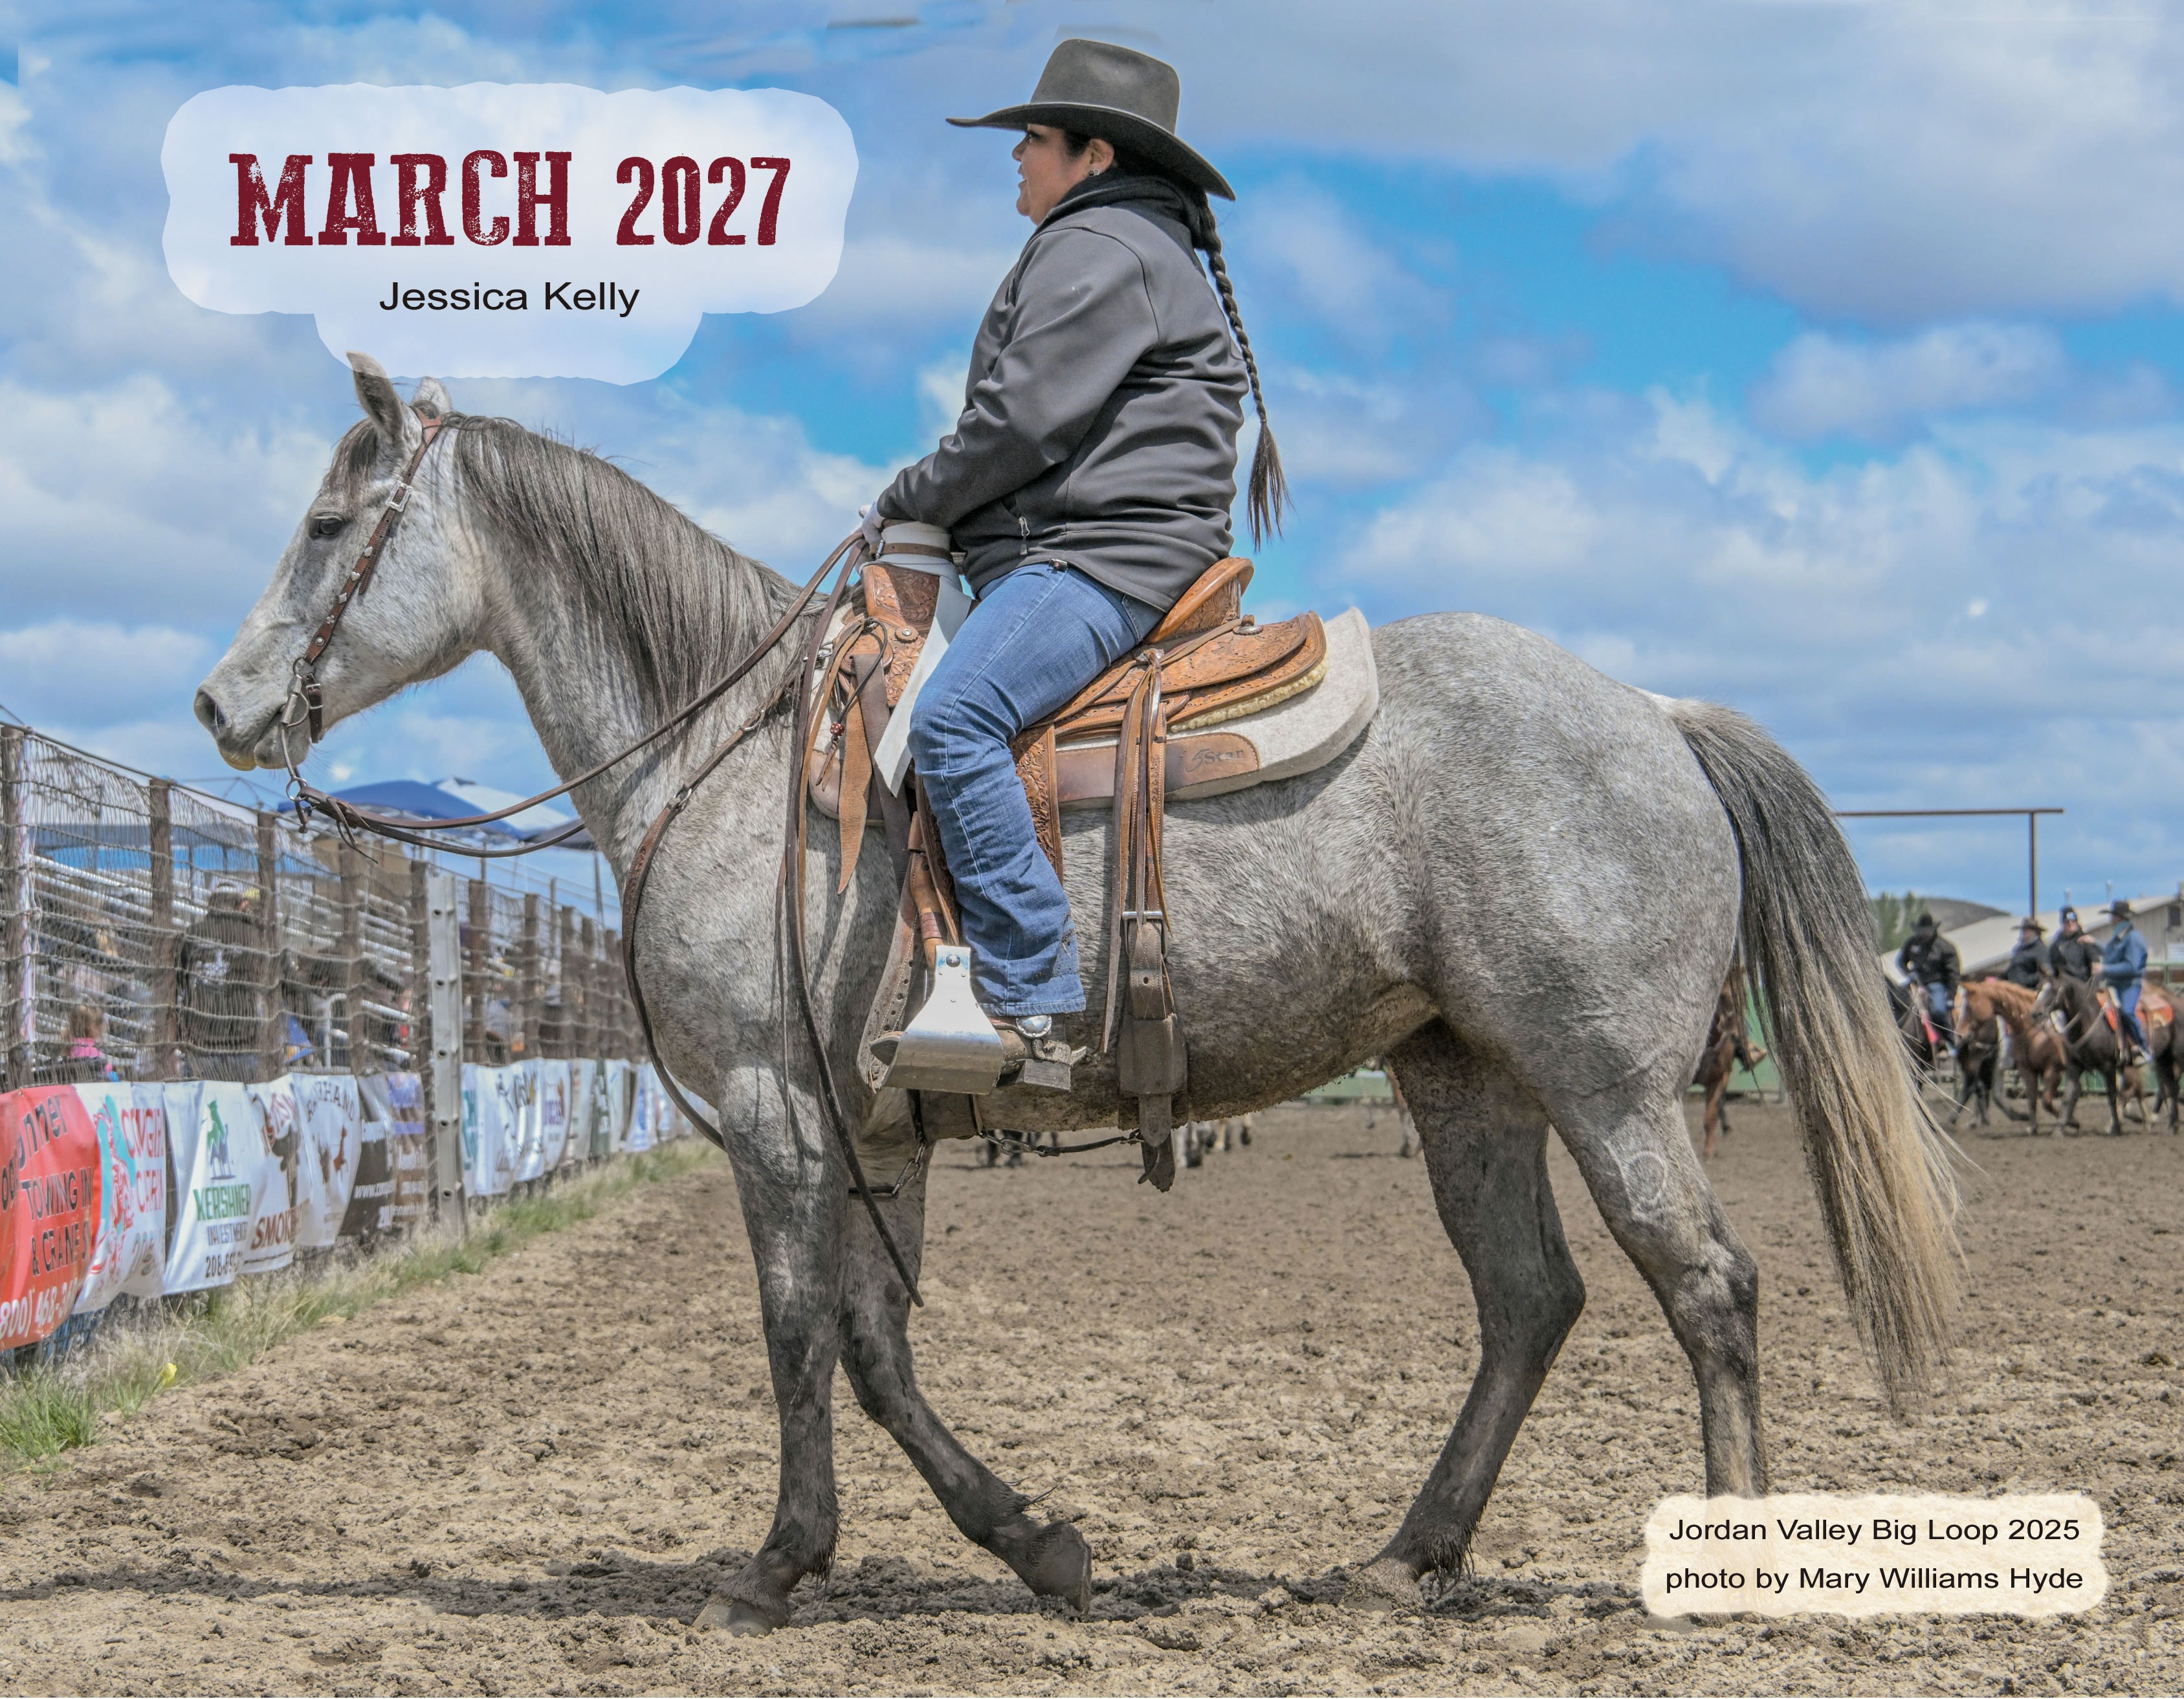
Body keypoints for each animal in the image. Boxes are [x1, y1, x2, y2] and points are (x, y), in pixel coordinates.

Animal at [1693, 962, 1767, 1158]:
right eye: (1723, 996)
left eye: (1744, 995)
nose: (1738, 1034)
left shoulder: (1719, 1078)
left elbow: (1710, 1117)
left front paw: (1708, 1152)